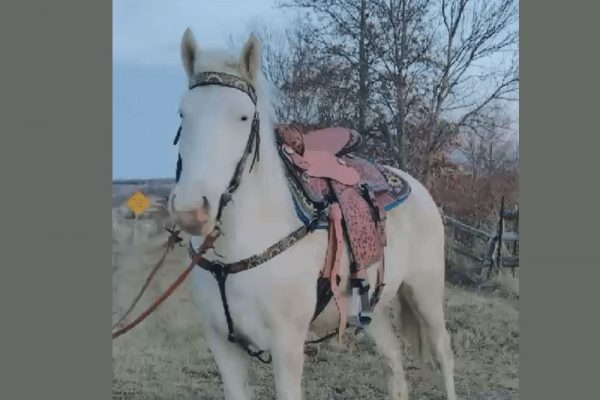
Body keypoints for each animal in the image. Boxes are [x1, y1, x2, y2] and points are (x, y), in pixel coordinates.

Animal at [168, 28, 454, 400]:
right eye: (182, 115)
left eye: (243, 117)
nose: (191, 211)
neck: (234, 254)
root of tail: (417, 187)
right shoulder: (223, 347)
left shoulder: (287, 346)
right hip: (371, 311)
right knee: (393, 363)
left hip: (426, 295)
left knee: (443, 354)